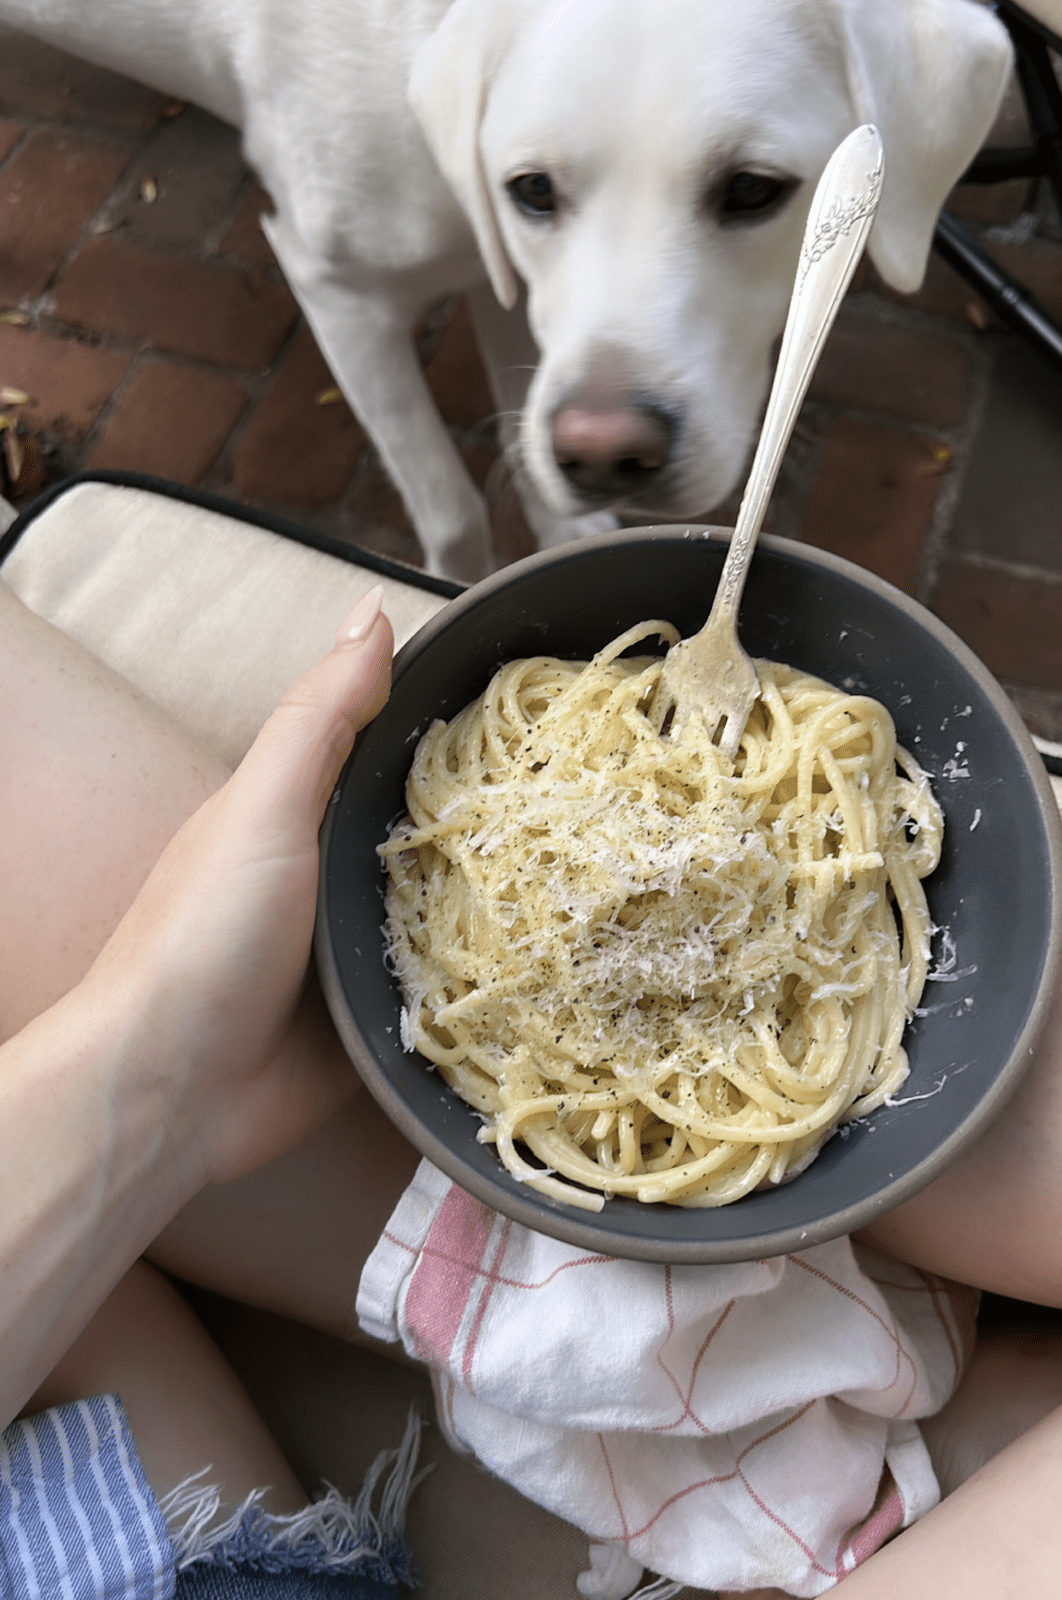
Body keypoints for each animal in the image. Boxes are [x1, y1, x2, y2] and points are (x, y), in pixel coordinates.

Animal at [2, 0, 1010, 576]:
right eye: (534, 188)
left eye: (756, 190)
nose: (605, 453)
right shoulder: (337, 289)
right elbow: (451, 512)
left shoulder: (502, 281)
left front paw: (569, 529)